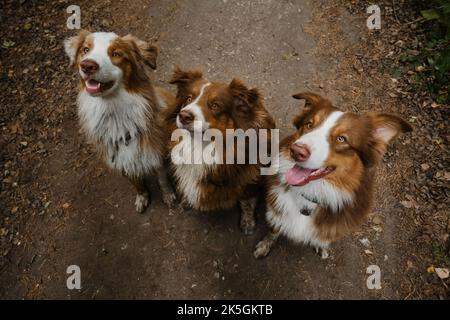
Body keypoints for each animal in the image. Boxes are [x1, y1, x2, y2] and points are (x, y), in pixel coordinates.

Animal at [63, 31, 176, 214]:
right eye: (85, 50)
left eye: (116, 53)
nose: (87, 65)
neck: (114, 111)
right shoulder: (120, 157)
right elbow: (136, 183)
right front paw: (142, 197)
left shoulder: (155, 149)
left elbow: (162, 178)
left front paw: (168, 195)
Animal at [162, 67, 274, 232]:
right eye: (188, 98)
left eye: (215, 105)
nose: (183, 115)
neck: (201, 146)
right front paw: (186, 200)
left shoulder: (250, 178)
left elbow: (247, 199)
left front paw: (247, 222)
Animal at [253, 91, 412, 258]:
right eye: (309, 124)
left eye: (341, 139)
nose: (296, 151)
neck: (313, 195)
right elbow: (274, 230)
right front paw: (265, 244)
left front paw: (321, 246)